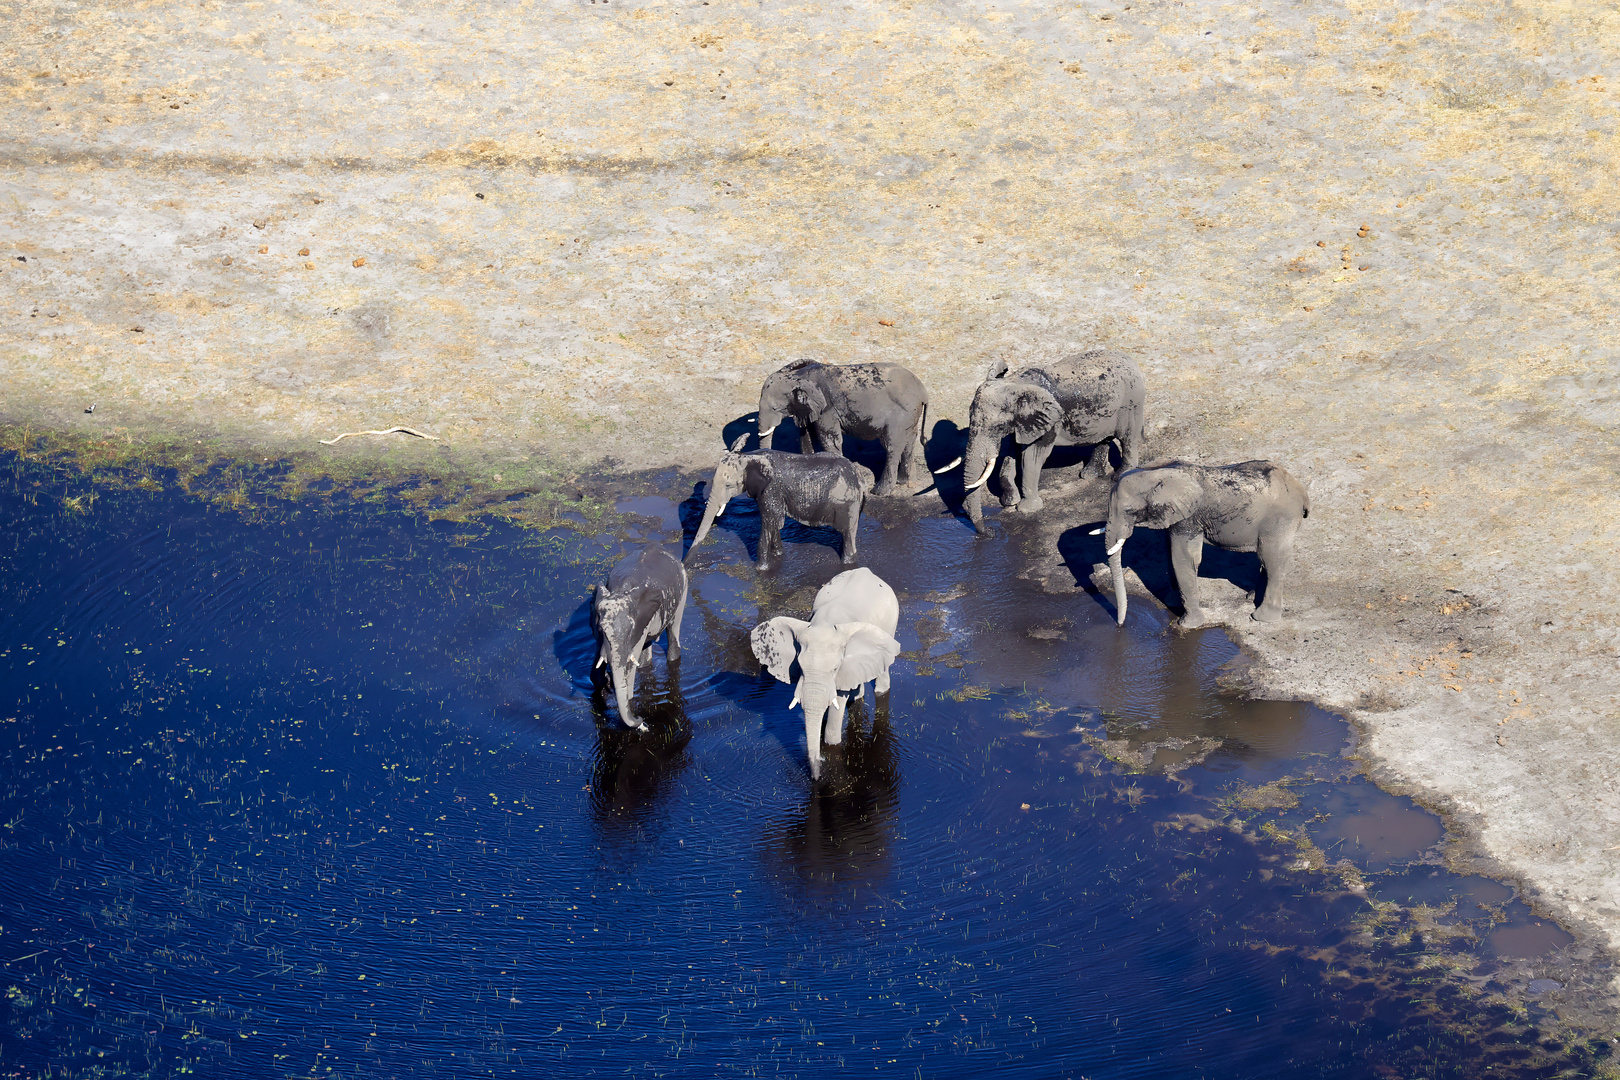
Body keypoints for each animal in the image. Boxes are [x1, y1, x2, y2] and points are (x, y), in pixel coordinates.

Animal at [592, 544, 686, 731]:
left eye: (630, 630)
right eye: (600, 629)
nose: (641, 719)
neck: (622, 590)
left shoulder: (640, 624)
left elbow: (630, 667)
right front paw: (604, 682)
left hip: (683, 587)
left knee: (673, 632)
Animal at [751, 566, 907, 786]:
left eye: (834, 669)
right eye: (800, 667)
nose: (815, 779)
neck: (826, 623)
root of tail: (867, 571)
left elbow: (837, 703)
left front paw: (830, 745)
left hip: (891, 622)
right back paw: (856, 698)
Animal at [754, 361, 933, 501]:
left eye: (775, 408)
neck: (797, 376)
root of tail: (924, 393)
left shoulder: (827, 409)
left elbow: (829, 439)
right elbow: (808, 436)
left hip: (901, 414)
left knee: (892, 447)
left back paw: (879, 492)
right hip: (910, 416)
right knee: (908, 444)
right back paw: (904, 483)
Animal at [939, 351, 1153, 531]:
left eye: (996, 426)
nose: (988, 532)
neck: (1014, 383)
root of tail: (1131, 360)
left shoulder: (1051, 420)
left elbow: (1031, 457)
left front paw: (1027, 509)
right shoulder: (1022, 421)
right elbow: (1012, 454)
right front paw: (1009, 502)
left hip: (1131, 402)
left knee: (1127, 437)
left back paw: (1120, 475)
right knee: (1105, 438)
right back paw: (1089, 475)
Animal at [1101, 459, 1315, 628]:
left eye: (1129, 510)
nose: (1120, 625)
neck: (1158, 472)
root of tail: (1301, 490)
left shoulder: (1189, 517)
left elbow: (1184, 558)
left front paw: (1188, 624)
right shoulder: (1175, 514)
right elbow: (1170, 552)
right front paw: (1173, 603)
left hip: (1280, 520)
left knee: (1271, 560)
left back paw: (1262, 618)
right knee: (1266, 560)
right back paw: (1251, 598)